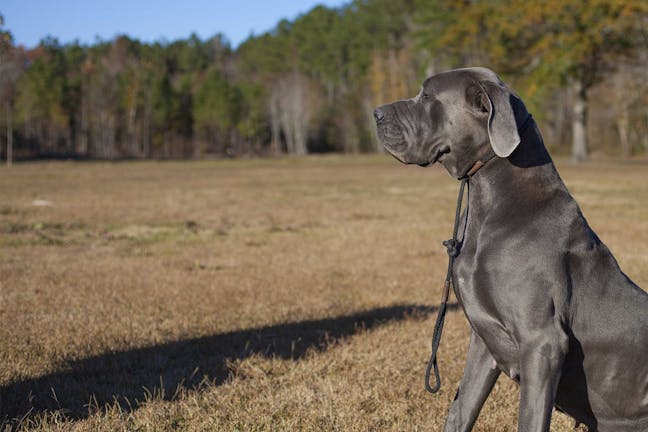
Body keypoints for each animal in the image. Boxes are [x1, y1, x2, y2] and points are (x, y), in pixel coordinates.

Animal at [374, 66, 648, 430]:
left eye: (428, 96)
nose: (376, 114)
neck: (487, 202)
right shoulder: (483, 340)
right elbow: (460, 410)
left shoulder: (542, 343)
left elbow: (529, 419)